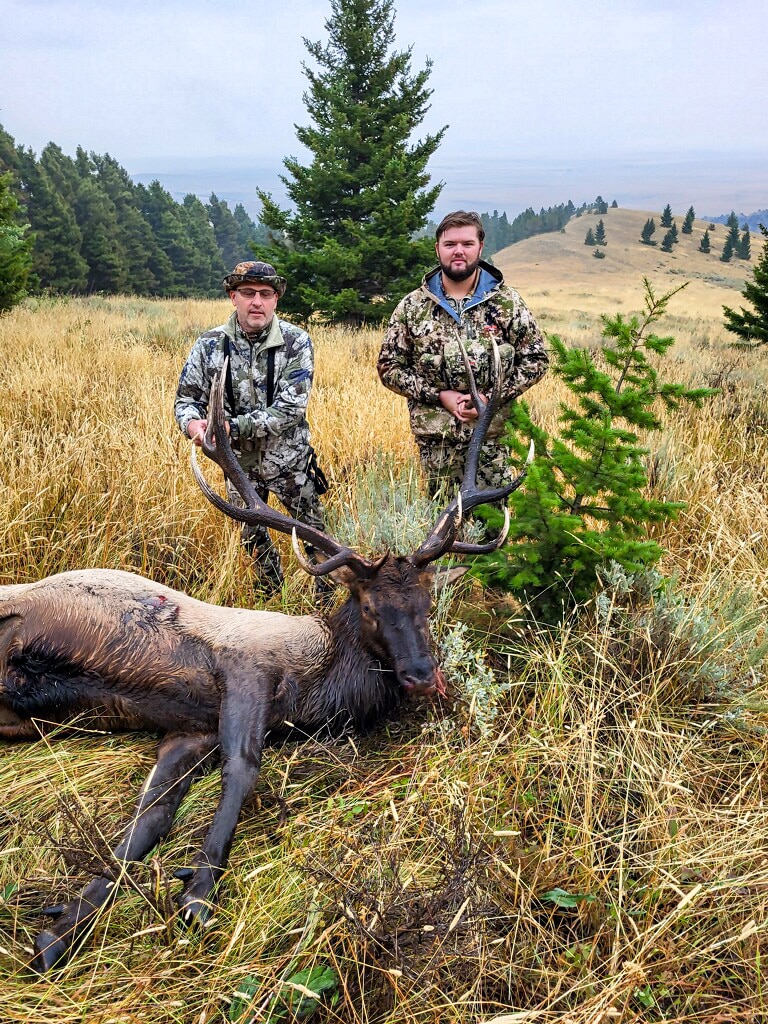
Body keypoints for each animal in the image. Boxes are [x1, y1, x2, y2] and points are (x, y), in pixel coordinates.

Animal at [0, 341, 531, 975]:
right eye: (370, 606)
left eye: (428, 602)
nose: (424, 676)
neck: (314, 686)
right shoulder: (245, 670)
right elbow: (243, 768)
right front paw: (197, 892)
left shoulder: (190, 730)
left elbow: (147, 822)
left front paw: (60, 928)